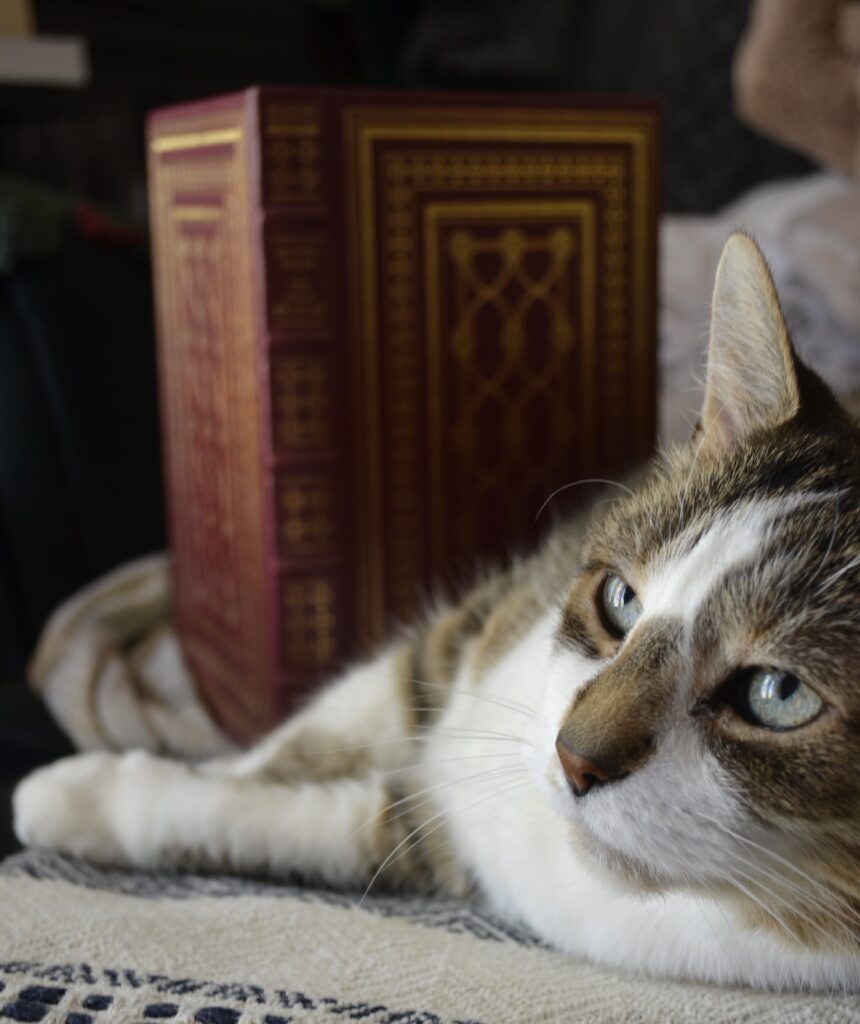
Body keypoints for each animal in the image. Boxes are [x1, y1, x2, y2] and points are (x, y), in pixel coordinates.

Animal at [11, 234, 860, 991]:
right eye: (620, 600)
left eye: (777, 695)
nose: (573, 758)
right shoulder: (468, 629)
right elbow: (307, 738)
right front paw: (126, 785)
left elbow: (320, 821)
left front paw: (85, 798)